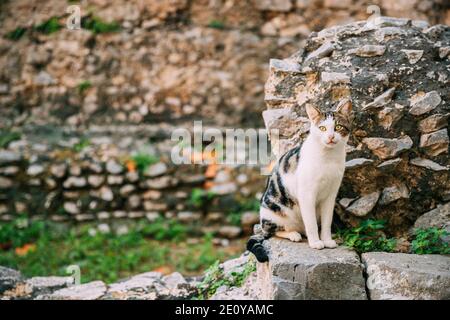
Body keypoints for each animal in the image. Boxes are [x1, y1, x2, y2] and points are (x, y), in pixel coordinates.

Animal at [248, 99, 354, 262]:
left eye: (338, 127)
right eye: (322, 128)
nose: (330, 136)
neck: (328, 158)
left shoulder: (331, 195)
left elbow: (327, 221)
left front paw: (327, 240)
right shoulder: (307, 194)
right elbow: (310, 222)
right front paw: (316, 242)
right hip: (273, 211)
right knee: (272, 231)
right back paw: (293, 234)